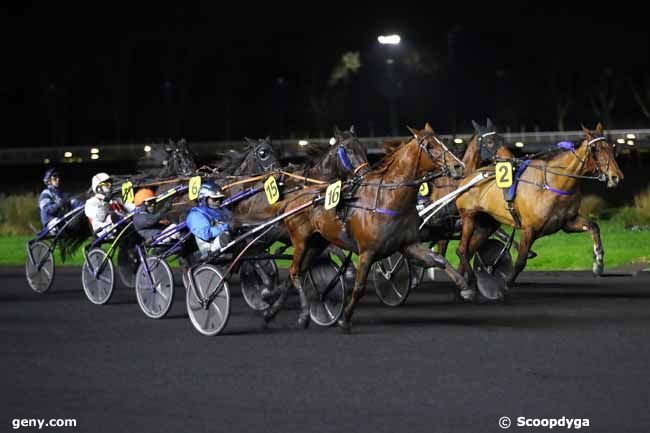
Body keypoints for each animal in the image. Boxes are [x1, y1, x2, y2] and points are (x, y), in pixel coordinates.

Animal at [276, 123, 468, 332]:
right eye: (430, 146)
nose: (458, 166)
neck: (389, 198)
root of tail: (295, 198)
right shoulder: (367, 252)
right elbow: (359, 288)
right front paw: (345, 320)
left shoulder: (409, 245)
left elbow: (438, 259)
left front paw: (464, 286)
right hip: (301, 242)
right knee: (294, 272)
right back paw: (303, 314)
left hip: (316, 244)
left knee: (298, 273)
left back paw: (274, 310)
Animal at [454, 122, 620, 290]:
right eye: (596, 149)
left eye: (611, 147)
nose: (616, 176)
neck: (551, 183)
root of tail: (467, 178)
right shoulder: (529, 229)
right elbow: (520, 261)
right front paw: (507, 283)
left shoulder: (567, 223)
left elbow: (594, 227)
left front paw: (598, 262)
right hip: (469, 217)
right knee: (461, 250)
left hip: (487, 225)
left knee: (469, 250)